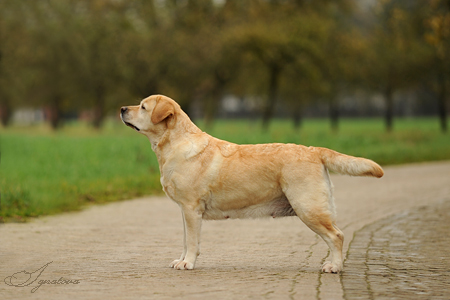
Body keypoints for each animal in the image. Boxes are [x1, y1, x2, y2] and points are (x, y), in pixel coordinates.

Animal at [120, 95, 384, 274]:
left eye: (143, 107)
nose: (122, 108)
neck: (173, 144)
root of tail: (314, 150)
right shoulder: (186, 211)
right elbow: (186, 240)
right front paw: (182, 259)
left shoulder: (191, 208)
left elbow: (192, 241)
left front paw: (188, 262)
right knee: (335, 234)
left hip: (308, 207)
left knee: (337, 235)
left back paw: (334, 266)